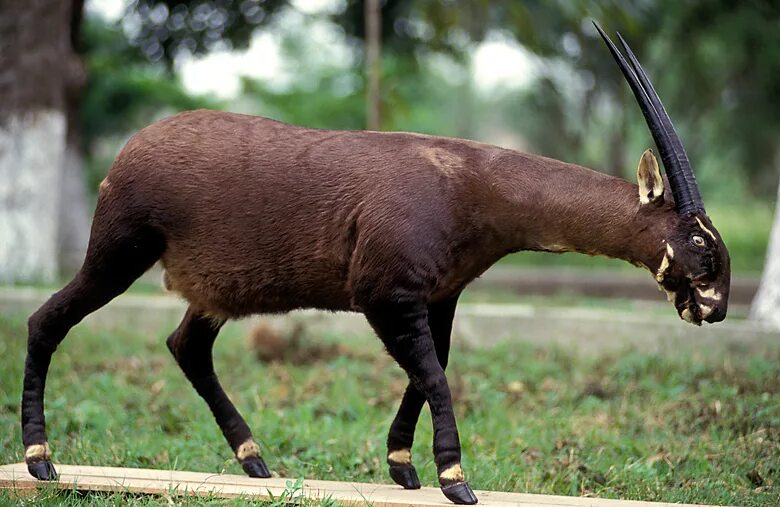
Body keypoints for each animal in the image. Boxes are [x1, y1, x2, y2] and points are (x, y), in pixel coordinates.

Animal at [21, 22, 728, 504]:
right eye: (699, 242)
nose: (715, 309)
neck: (469, 183)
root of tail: (125, 153)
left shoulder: (438, 296)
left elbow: (432, 369)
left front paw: (403, 467)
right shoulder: (385, 295)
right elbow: (435, 375)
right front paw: (455, 479)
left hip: (210, 290)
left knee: (186, 344)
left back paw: (255, 461)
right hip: (119, 251)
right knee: (45, 320)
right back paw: (40, 459)